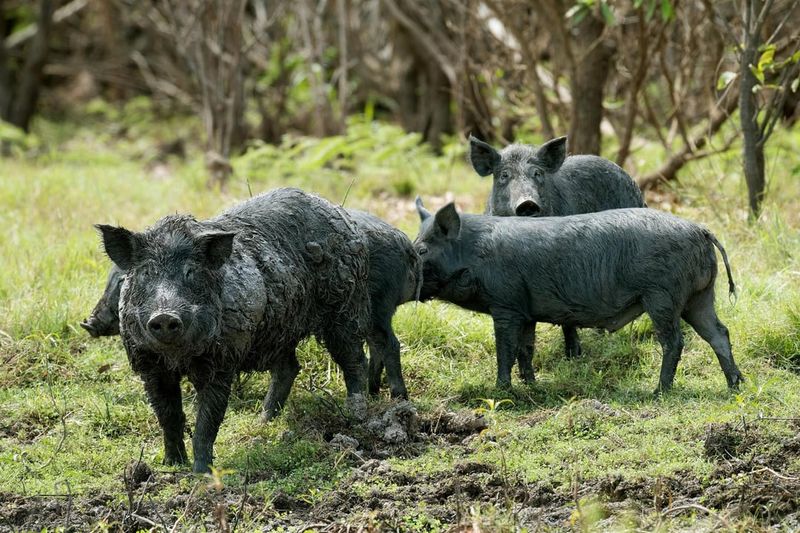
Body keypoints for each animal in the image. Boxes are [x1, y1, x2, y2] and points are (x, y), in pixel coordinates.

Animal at [83, 209, 420, 401]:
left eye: (120, 282)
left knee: (382, 345)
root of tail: (405, 243)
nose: (88, 322)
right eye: (136, 278)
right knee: (294, 366)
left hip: (364, 309)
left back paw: (389, 400)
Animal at [94, 188, 371, 473]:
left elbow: (207, 421)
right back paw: (264, 421)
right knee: (289, 367)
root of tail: (341, 214)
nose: (164, 315)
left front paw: (201, 473)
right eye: (146, 272)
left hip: (344, 306)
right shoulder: (149, 366)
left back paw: (357, 415)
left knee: (354, 359)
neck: (177, 358)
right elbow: (169, 417)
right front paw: (171, 465)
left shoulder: (222, 361)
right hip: (279, 330)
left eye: (191, 272)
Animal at [414, 199, 744, 393]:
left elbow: (505, 350)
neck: (473, 254)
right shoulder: (525, 311)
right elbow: (525, 349)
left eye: (422, 249)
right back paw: (736, 385)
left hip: (662, 296)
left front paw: (501, 390)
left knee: (674, 341)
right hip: (698, 296)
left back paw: (659, 391)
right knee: (719, 333)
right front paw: (532, 385)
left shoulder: (505, 304)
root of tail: (700, 230)